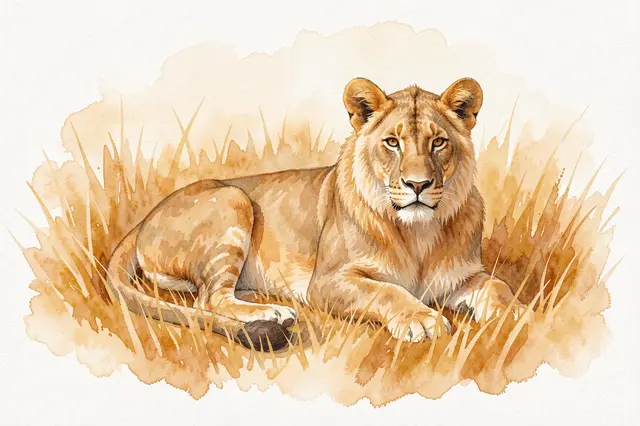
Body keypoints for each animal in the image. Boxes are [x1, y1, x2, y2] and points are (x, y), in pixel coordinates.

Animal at [106, 77, 527, 350]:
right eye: (392, 142)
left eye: (438, 141)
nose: (418, 185)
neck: (419, 233)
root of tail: (145, 217)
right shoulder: (326, 282)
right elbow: (386, 290)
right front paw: (420, 320)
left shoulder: (462, 277)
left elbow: (499, 286)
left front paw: (518, 314)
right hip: (233, 198)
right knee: (209, 299)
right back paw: (276, 313)